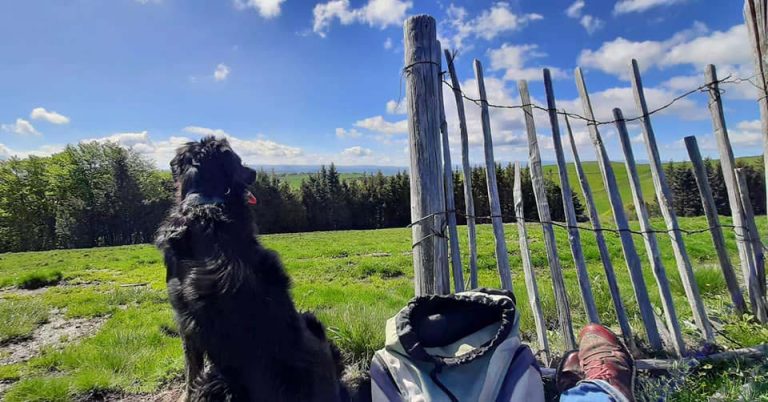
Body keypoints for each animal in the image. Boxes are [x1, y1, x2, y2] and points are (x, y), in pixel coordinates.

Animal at [156, 137, 344, 400]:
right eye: (239, 160)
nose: (254, 172)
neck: (205, 205)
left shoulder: (186, 321)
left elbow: (190, 370)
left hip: (219, 379)